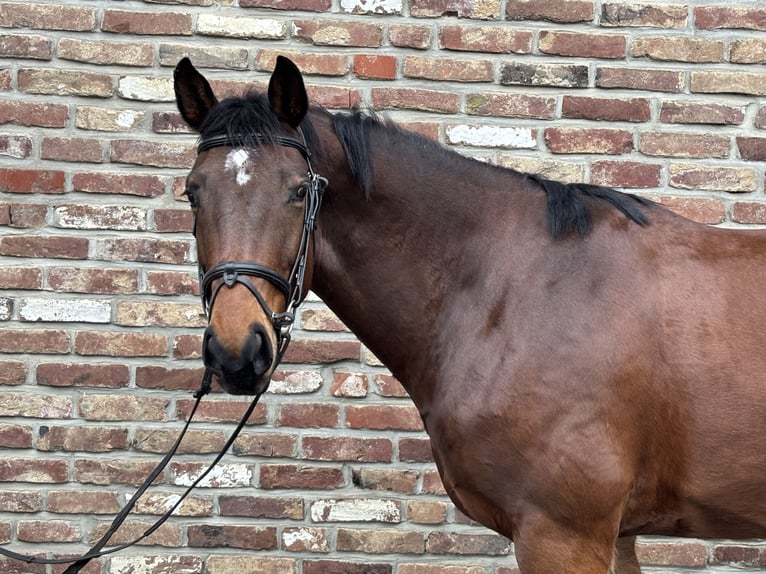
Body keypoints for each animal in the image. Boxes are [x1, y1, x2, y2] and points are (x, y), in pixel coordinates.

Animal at [173, 55, 766, 573]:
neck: (513, 290)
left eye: (298, 191)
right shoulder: (616, 535)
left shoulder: (564, 534)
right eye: (193, 193)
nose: (236, 352)